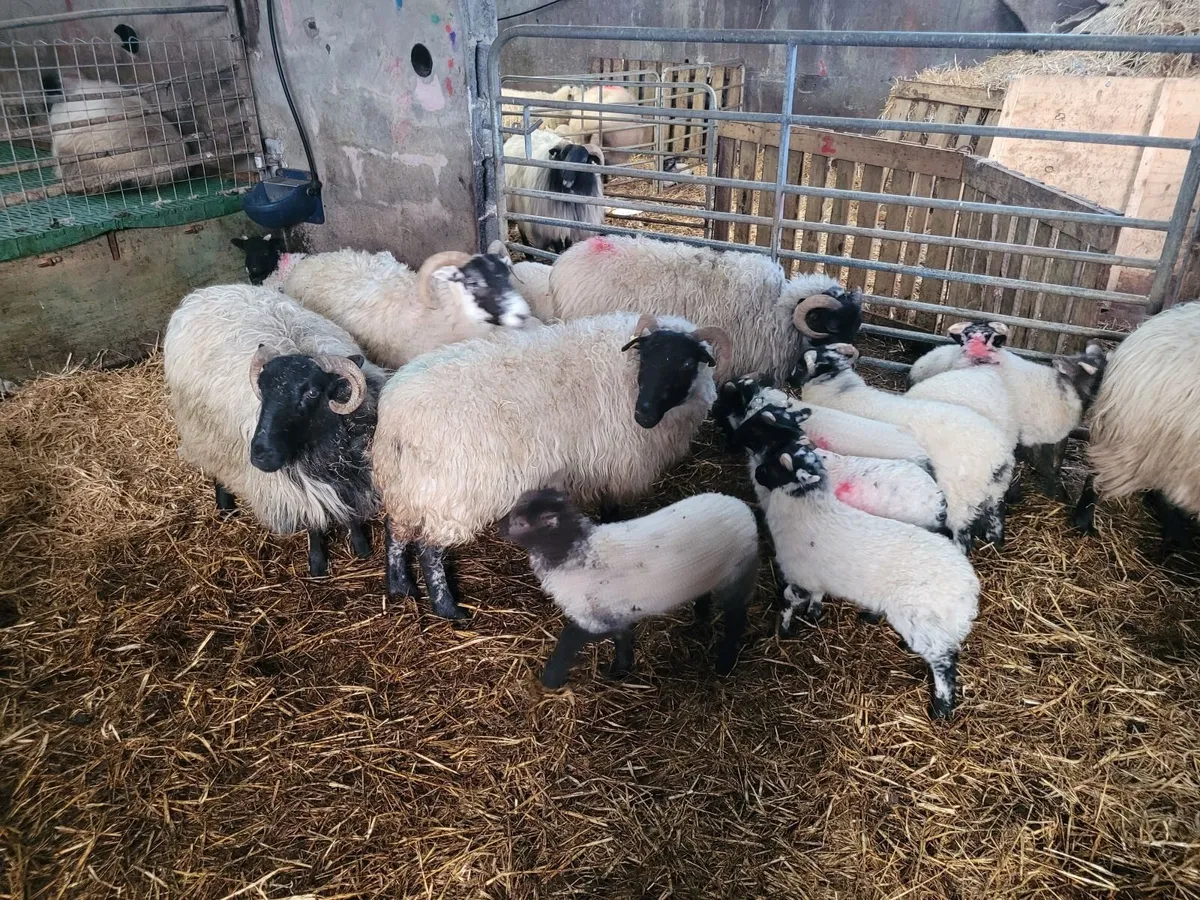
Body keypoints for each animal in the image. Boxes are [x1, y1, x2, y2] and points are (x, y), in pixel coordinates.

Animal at [164, 284, 387, 576]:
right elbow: (313, 523)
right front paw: (317, 564)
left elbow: (351, 513)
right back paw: (225, 506)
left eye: (312, 392)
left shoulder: (354, 472)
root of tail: (207, 292)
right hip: (205, 432)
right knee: (215, 465)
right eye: (262, 388)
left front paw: (361, 548)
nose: (260, 454)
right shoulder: (294, 488)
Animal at [372, 312, 732, 621]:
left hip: (407, 486)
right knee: (429, 550)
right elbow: (611, 511)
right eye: (647, 355)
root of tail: (395, 415)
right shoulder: (613, 465)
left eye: (687, 363)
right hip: (450, 495)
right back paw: (448, 609)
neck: (627, 377)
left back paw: (400, 586)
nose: (642, 415)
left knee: (395, 530)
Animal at [499, 487, 758, 687]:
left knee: (736, 617)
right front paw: (621, 668)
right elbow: (621, 638)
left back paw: (725, 661)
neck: (573, 551)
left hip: (736, 576)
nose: (499, 526)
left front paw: (550, 680)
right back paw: (701, 613)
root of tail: (742, 509)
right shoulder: (617, 612)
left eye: (520, 522)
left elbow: (568, 639)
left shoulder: (596, 619)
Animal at [751, 437, 979, 719]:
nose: (757, 473)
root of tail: (968, 590)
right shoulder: (817, 577)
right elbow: (817, 595)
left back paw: (941, 708)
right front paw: (814, 613)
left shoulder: (800, 577)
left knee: (944, 661)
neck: (808, 509)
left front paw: (783, 630)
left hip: (921, 621)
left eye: (776, 466)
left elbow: (786, 601)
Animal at [792, 344, 1015, 552]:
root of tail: (1000, 456)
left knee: (962, 537)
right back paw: (996, 543)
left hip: (959, 498)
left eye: (801, 364)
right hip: (995, 492)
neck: (839, 393)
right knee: (996, 518)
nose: (788, 377)